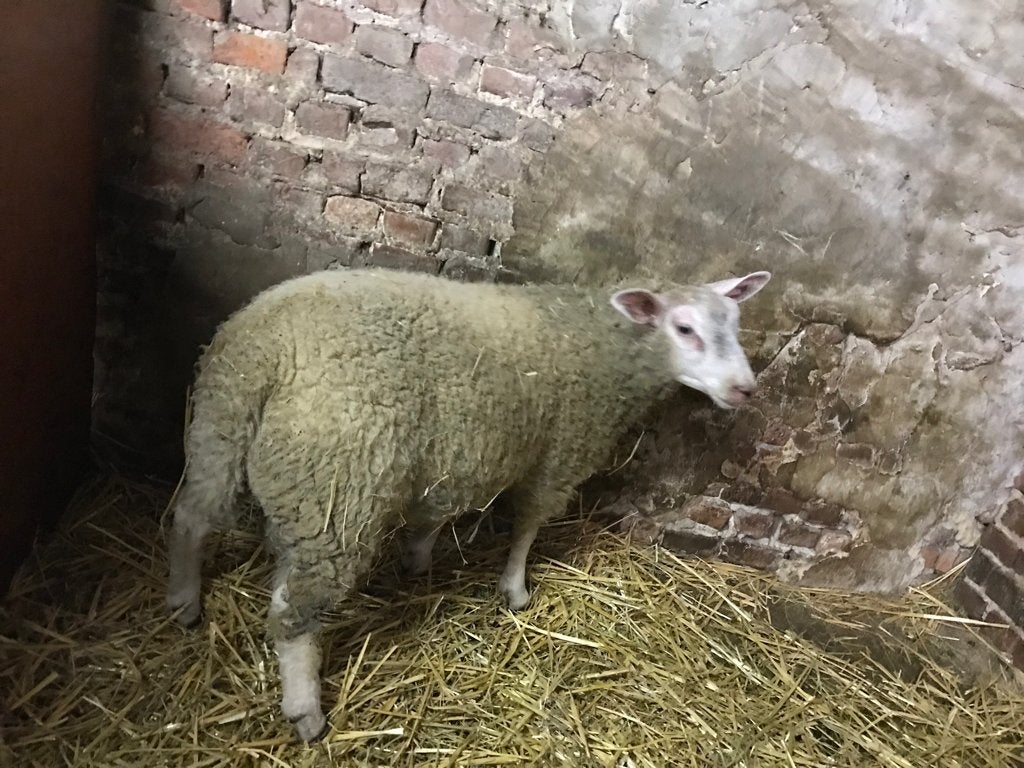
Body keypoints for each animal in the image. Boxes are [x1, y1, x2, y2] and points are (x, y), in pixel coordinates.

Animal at [165, 266, 771, 741]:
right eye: (685, 328)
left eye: (734, 325)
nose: (745, 389)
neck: (601, 343)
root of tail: (269, 345)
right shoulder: (559, 454)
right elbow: (527, 525)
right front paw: (515, 590)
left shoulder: (462, 451)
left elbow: (435, 514)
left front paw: (418, 560)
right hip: (337, 487)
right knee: (293, 612)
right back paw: (305, 709)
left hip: (220, 429)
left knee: (193, 518)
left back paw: (184, 601)